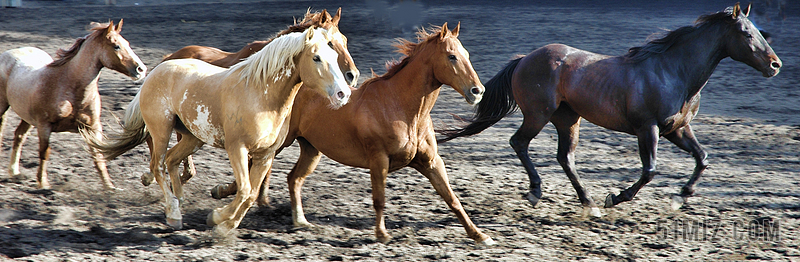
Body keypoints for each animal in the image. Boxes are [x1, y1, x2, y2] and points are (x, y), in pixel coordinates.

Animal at [0, 20, 147, 188]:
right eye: (116, 46)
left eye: (127, 43)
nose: (142, 69)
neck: (70, 87)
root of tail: (10, 52)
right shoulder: (44, 126)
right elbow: (44, 153)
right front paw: (43, 183)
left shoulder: (93, 127)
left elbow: (98, 156)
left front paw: (109, 186)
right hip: (4, 108)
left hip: (28, 117)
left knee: (19, 135)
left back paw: (14, 172)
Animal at [82, 27, 354, 235]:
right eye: (316, 58)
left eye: (334, 54)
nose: (343, 93)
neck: (261, 94)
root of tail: (155, 71)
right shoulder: (238, 149)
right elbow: (244, 190)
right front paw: (219, 219)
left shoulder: (265, 155)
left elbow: (251, 194)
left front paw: (223, 223)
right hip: (162, 130)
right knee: (157, 166)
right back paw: (174, 213)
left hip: (192, 138)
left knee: (172, 160)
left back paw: (180, 202)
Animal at [209, 23, 494, 246]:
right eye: (451, 56)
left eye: (466, 54)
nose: (477, 91)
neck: (401, 107)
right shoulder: (379, 159)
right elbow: (379, 199)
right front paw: (381, 234)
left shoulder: (431, 162)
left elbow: (452, 199)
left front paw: (479, 235)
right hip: (279, 144)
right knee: (251, 170)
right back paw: (221, 195)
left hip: (311, 149)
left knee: (293, 178)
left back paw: (300, 221)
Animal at [438, 3, 780, 215]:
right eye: (746, 34)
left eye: (761, 32)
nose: (775, 65)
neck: (673, 71)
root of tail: (524, 59)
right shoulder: (648, 128)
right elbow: (649, 170)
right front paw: (616, 198)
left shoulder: (677, 129)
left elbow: (703, 158)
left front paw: (680, 197)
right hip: (538, 114)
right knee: (519, 142)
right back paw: (537, 192)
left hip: (568, 119)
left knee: (565, 158)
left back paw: (588, 202)